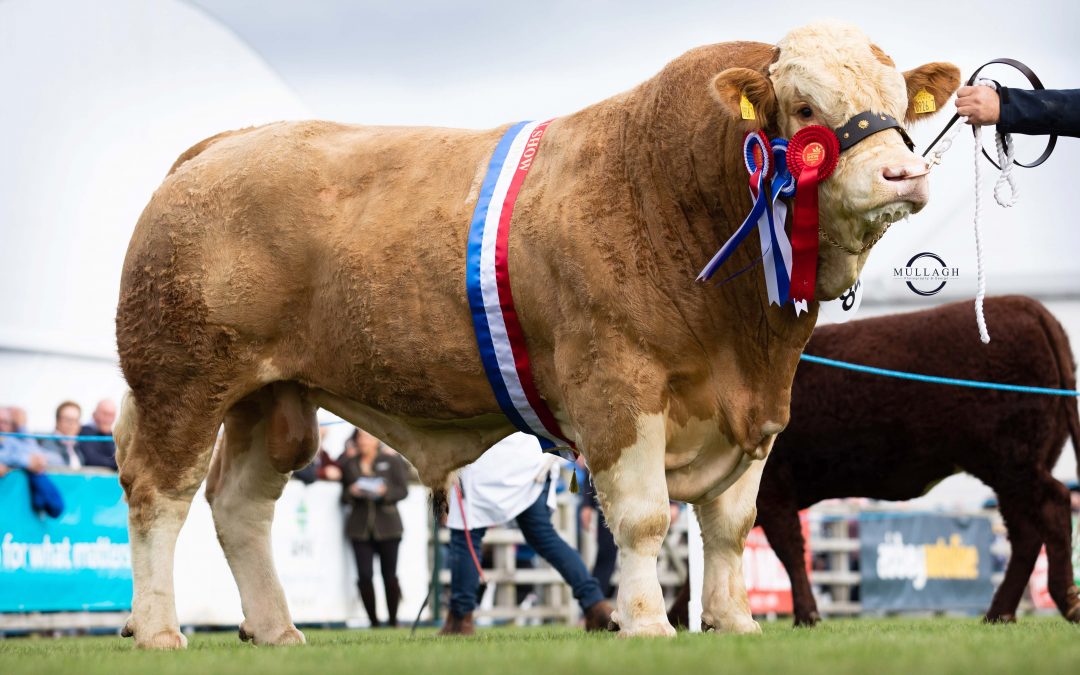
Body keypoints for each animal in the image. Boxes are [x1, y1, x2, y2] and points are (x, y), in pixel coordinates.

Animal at [113, 22, 959, 648]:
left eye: (901, 104)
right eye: (808, 108)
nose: (904, 176)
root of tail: (220, 147)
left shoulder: (754, 409)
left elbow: (729, 522)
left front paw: (733, 621)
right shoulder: (618, 385)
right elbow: (645, 516)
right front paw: (646, 623)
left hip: (274, 398)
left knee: (240, 505)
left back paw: (277, 629)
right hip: (180, 382)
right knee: (160, 492)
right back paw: (159, 631)